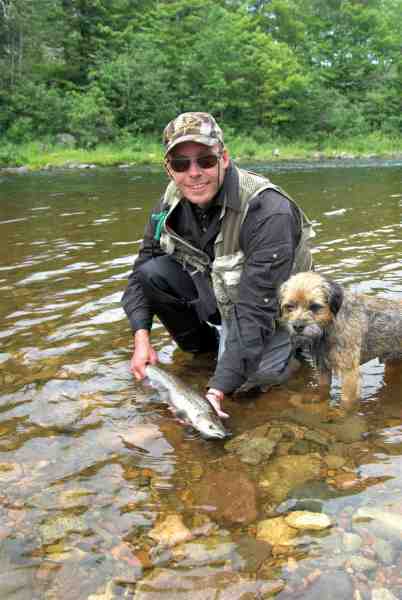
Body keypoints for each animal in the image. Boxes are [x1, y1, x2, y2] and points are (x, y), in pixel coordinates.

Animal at [278, 272, 402, 408]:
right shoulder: (322, 368)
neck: (329, 326)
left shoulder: (349, 374)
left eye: (315, 306)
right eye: (289, 306)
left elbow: (346, 402)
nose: (297, 326)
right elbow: (323, 389)